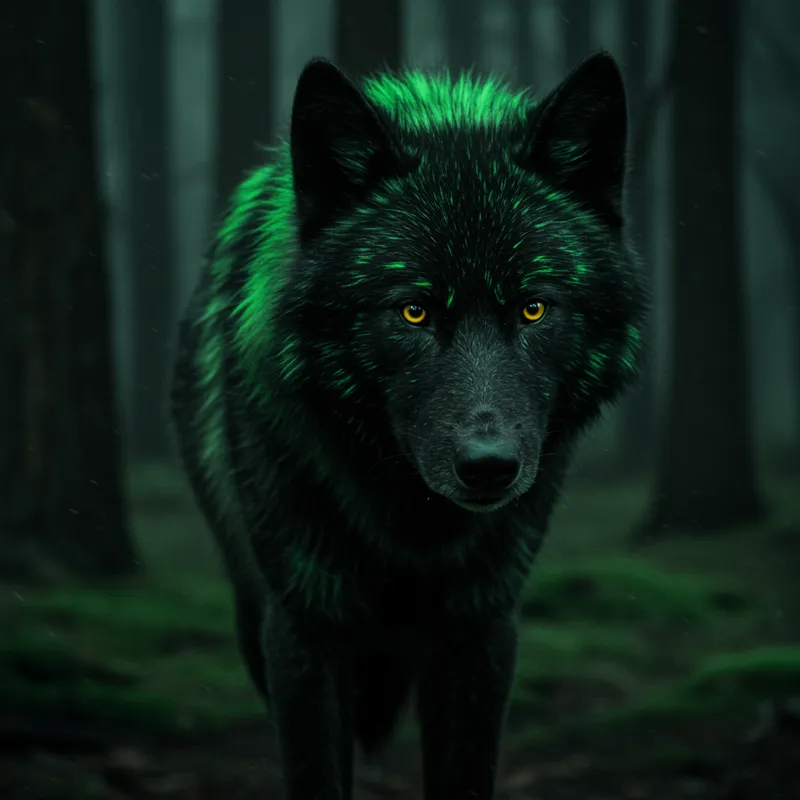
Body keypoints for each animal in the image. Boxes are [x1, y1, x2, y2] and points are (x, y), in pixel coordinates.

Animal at [170, 51, 646, 800]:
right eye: (413, 311)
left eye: (535, 308)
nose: (489, 466)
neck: (413, 525)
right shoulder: (302, 630)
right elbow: (315, 772)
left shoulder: (481, 631)